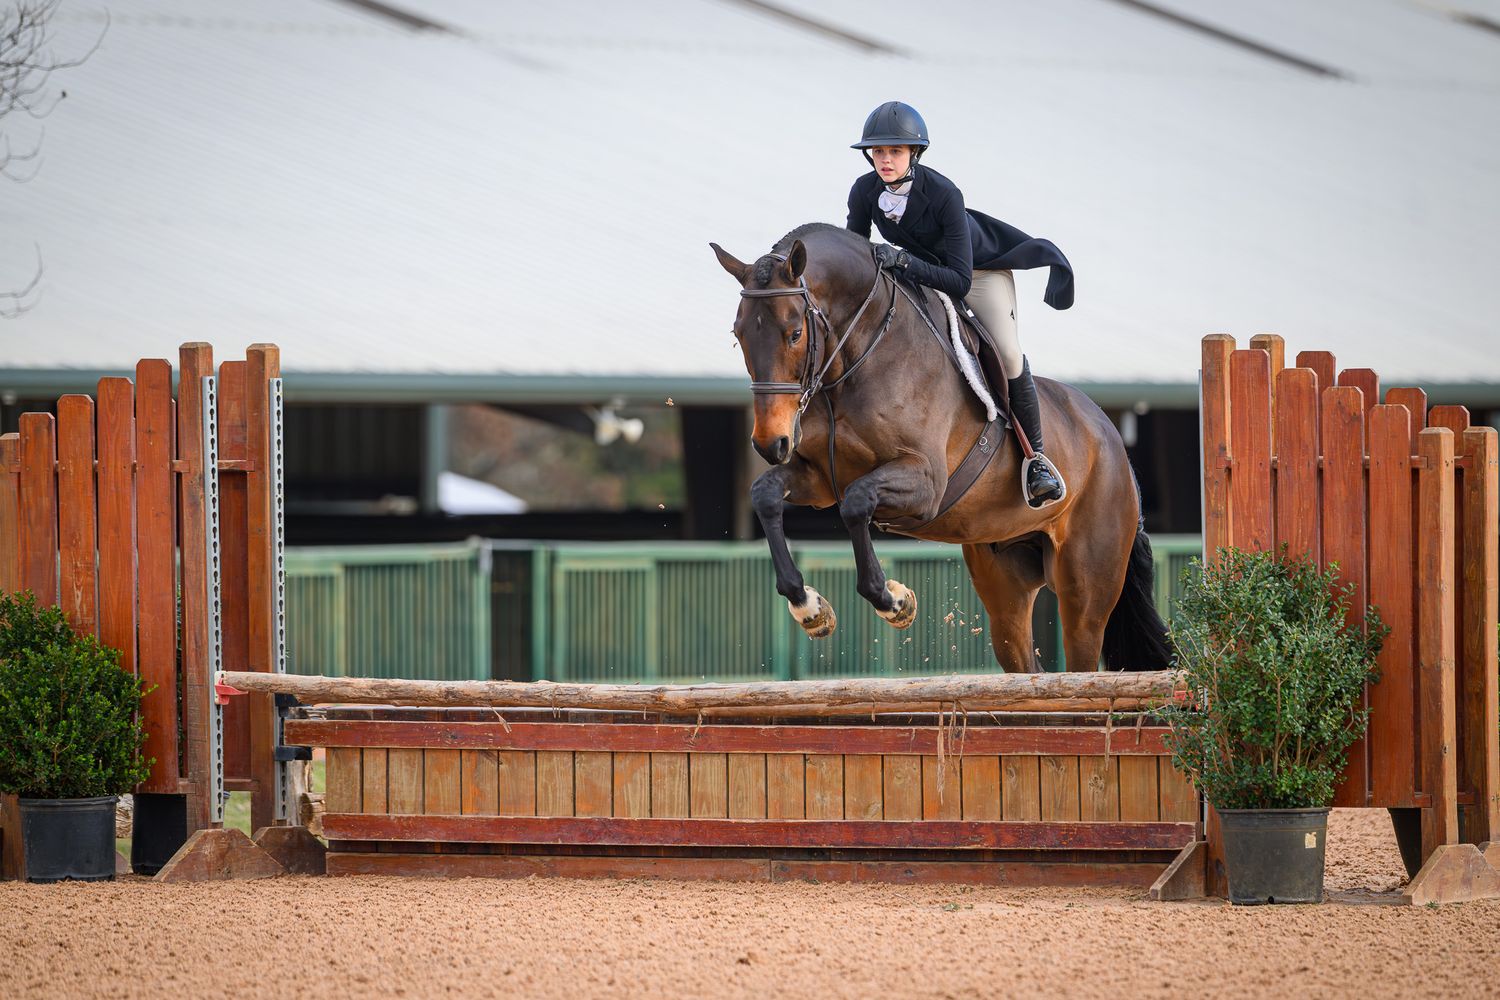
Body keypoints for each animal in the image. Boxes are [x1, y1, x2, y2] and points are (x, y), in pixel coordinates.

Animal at [710, 223, 1172, 673]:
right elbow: (765, 494)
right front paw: (808, 606)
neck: (858, 357)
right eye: (738, 335)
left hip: (1085, 590)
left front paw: (894, 600)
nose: (770, 443)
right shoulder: (822, 478)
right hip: (1005, 584)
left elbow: (857, 504)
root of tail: (1113, 441)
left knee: (1081, 654)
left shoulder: (926, 482)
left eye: (795, 333)